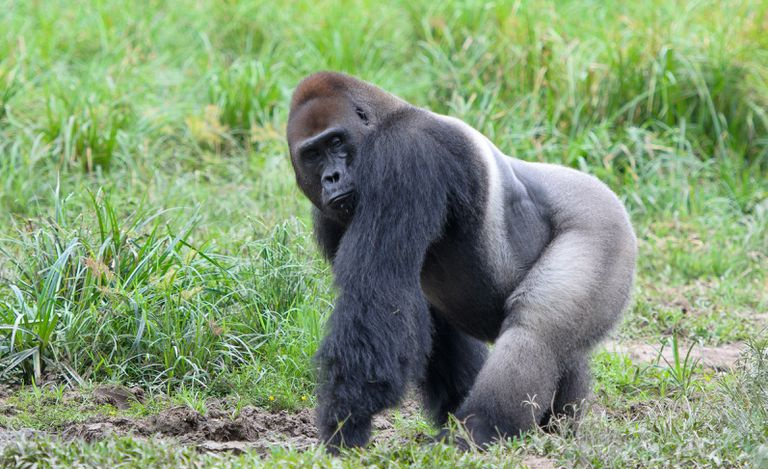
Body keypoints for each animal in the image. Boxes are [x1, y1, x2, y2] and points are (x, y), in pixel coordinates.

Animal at [286, 71, 637, 452]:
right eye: (312, 154)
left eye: (336, 142)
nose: (331, 178)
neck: (386, 116)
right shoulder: (330, 218)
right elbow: (427, 321)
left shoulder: (405, 152)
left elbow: (378, 293)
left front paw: (346, 421)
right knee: (564, 350)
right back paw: (554, 426)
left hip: (602, 225)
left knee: (536, 330)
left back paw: (479, 428)